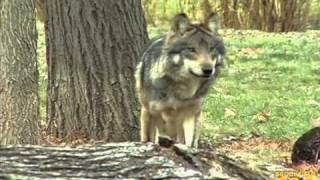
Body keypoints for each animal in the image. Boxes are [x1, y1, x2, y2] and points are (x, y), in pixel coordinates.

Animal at [135, 12, 225, 148]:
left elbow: (190, 142)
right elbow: (155, 137)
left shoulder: (191, 113)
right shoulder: (155, 112)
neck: (183, 89)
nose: (208, 70)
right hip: (146, 112)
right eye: (192, 49)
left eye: (211, 49)